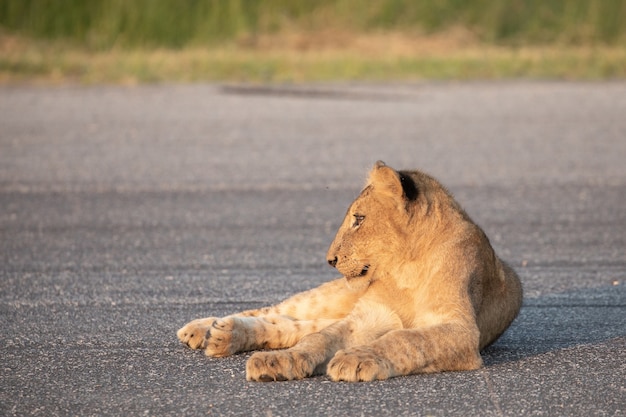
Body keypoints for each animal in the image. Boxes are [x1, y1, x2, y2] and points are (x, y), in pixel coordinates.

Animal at [177, 162, 520, 380]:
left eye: (358, 219)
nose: (330, 259)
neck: (405, 269)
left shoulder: (461, 330)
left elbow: (406, 339)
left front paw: (356, 359)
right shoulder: (367, 318)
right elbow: (319, 341)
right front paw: (281, 361)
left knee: (290, 325)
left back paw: (220, 335)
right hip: (330, 297)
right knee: (276, 311)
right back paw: (204, 329)